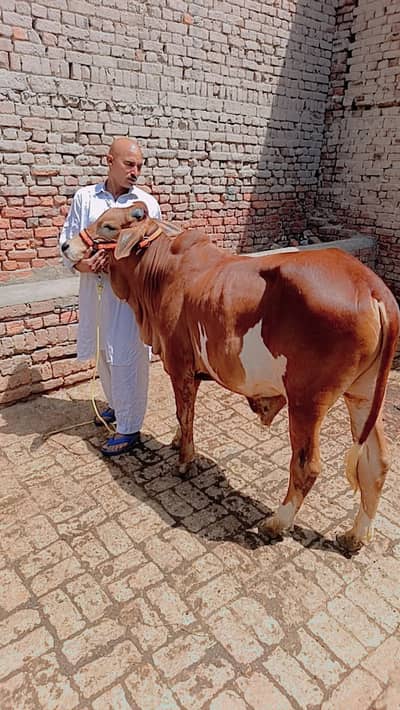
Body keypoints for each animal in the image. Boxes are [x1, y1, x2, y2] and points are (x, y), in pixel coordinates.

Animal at [62, 202, 400, 553]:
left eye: (109, 226)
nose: (66, 246)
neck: (158, 272)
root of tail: (371, 287)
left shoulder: (179, 365)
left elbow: (184, 413)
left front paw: (185, 461)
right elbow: (184, 417)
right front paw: (178, 441)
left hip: (307, 401)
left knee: (307, 466)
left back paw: (276, 523)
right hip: (363, 396)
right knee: (377, 462)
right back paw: (354, 535)